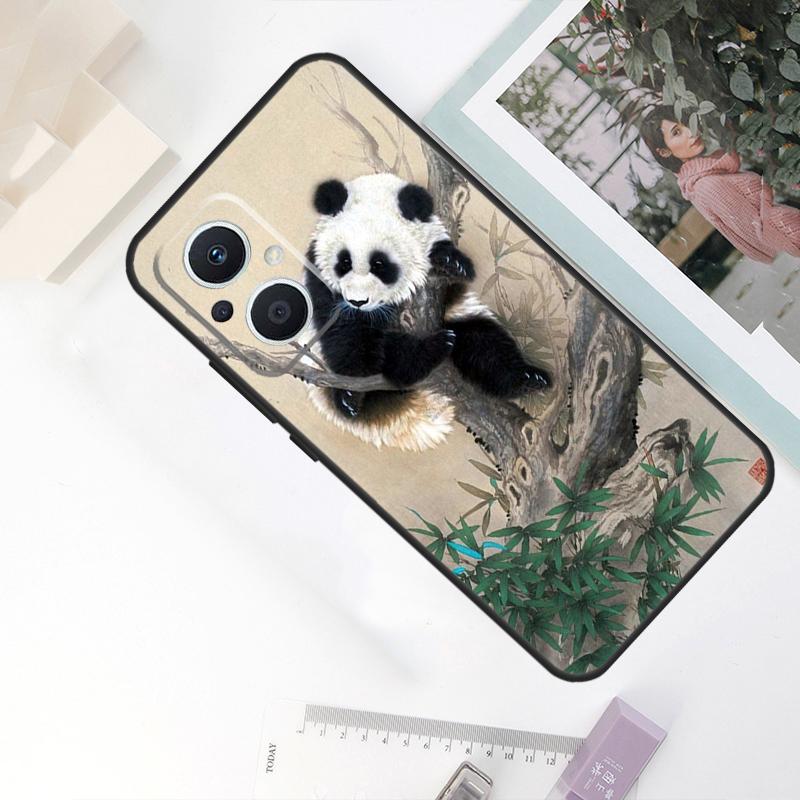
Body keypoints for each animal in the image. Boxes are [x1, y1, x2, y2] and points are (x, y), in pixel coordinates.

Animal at [303, 172, 550, 451]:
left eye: (380, 264)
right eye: (344, 261)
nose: (358, 301)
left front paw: (451, 262)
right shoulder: (321, 280)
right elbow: (345, 332)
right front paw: (350, 393)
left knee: (486, 346)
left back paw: (527, 378)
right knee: (392, 358)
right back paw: (426, 351)